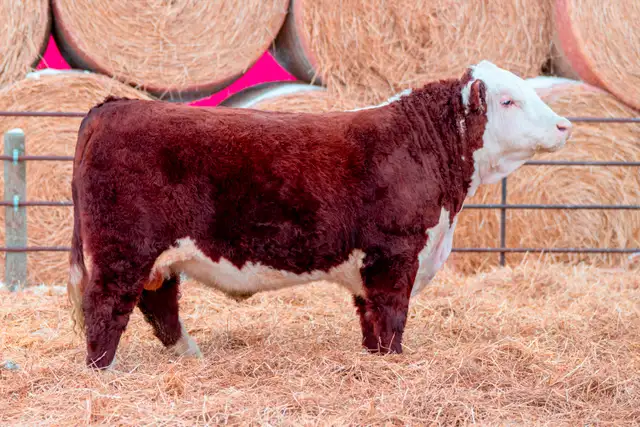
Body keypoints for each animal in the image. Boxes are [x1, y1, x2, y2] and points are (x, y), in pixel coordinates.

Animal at [68, 60, 572, 369]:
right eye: (508, 100)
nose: (565, 125)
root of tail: (115, 105)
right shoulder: (395, 253)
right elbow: (392, 315)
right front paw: (395, 361)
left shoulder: (370, 266)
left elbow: (370, 318)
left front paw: (374, 360)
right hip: (124, 250)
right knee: (105, 306)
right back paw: (104, 370)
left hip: (156, 258)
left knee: (159, 305)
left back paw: (190, 355)